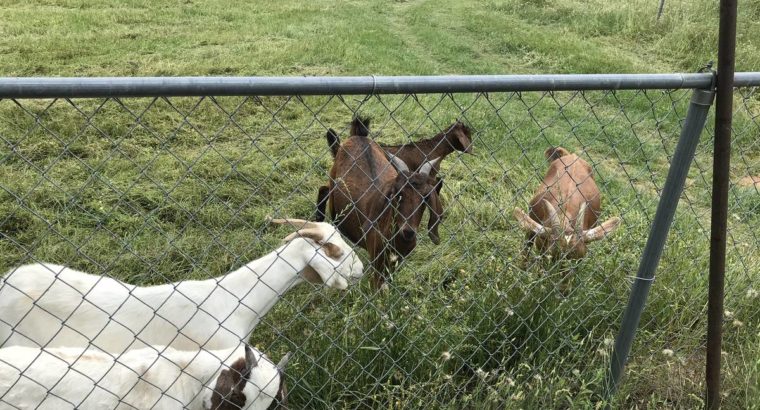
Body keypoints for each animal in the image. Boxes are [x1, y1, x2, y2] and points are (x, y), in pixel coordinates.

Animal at [317, 117, 443, 289]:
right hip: (333, 181)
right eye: (397, 194)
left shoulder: (397, 261)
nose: (408, 232)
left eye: (425, 197)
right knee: (324, 191)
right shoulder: (376, 260)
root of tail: (357, 135)